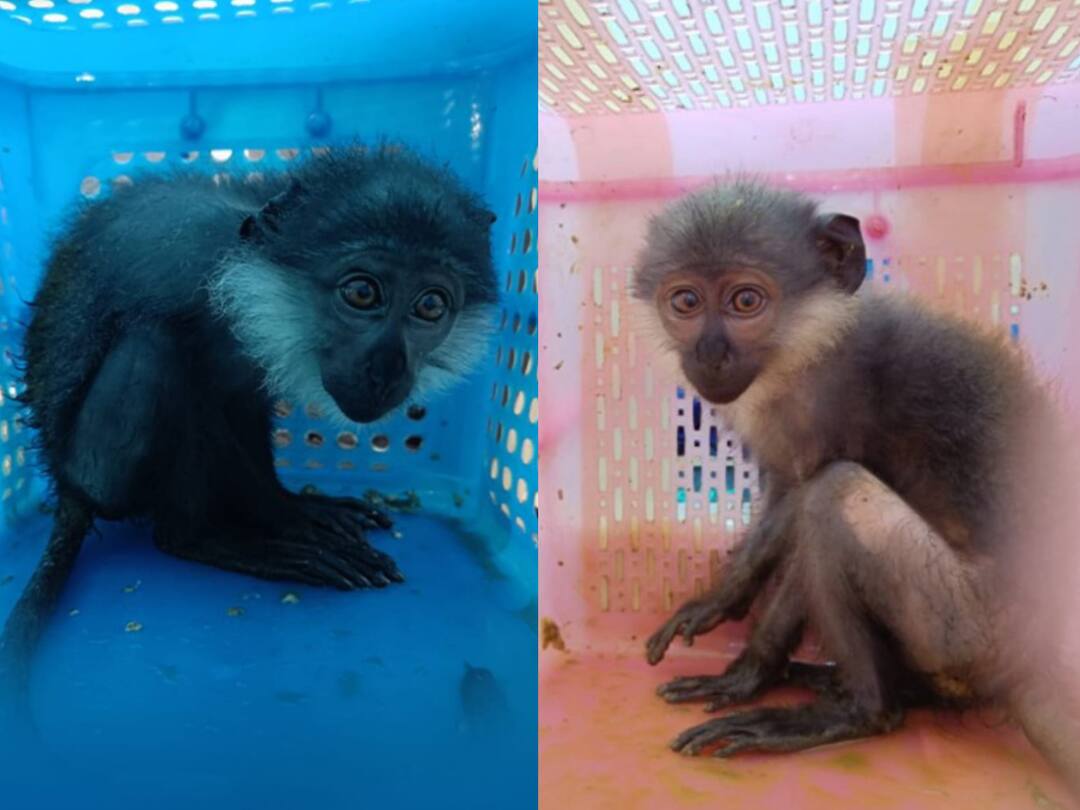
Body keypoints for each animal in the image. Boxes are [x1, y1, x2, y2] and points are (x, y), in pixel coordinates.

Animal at [0, 144, 499, 709]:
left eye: (431, 305)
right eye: (362, 293)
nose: (389, 367)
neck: (247, 270)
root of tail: (66, 483)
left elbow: (247, 405)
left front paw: (299, 503)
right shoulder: (196, 276)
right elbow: (209, 406)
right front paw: (291, 516)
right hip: (102, 470)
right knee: (157, 346)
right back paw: (202, 538)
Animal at [633, 179, 1080, 793]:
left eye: (746, 302)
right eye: (686, 302)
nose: (709, 354)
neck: (804, 348)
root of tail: (1027, 661)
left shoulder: (831, 400)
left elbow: (804, 500)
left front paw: (748, 669)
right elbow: (783, 497)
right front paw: (729, 608)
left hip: (964, 626)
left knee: (831, 494)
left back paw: (860, 710)